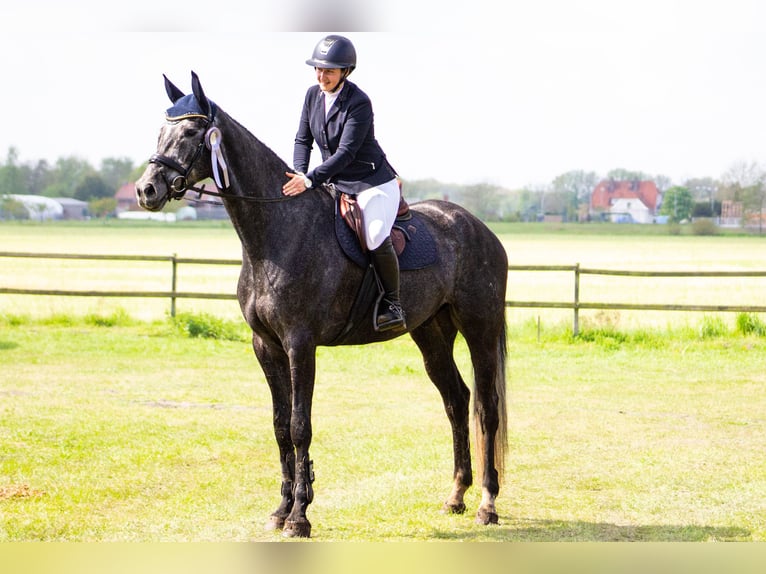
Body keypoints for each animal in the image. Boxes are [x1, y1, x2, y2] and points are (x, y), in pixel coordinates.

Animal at [138, 72, 510, 540]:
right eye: (160, 132)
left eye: (190, 134)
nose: (146, 190)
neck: (276, 232)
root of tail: (479, 228)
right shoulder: (266, 346)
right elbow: (280, 427)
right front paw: (281, 510)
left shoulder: (300, 344)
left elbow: (300, 427)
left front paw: (300, 516)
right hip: (430, 331)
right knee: (456, 401)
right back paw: (456, 496)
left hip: (480, 329)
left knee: (487, 408)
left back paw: (488, 504)